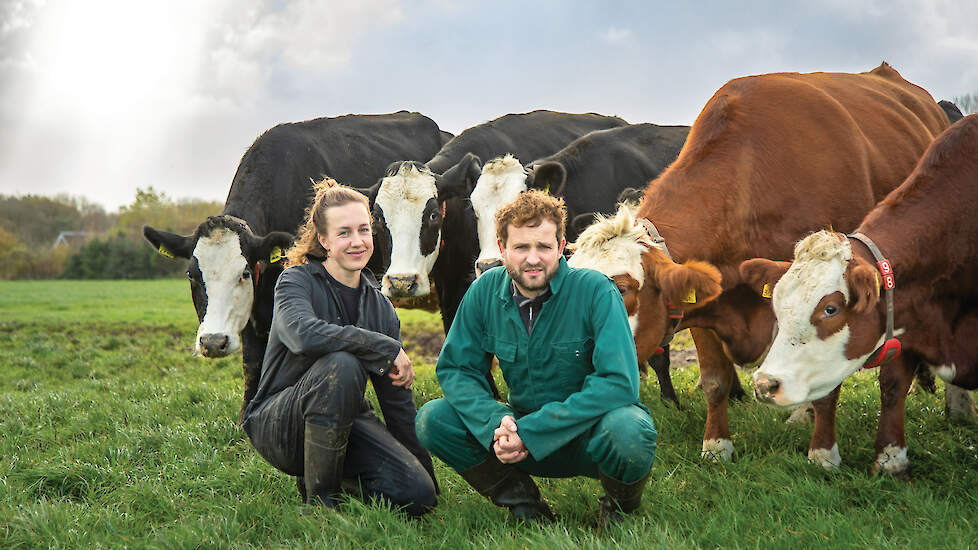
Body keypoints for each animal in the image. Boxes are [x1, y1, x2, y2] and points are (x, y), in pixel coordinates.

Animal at [568, 64, 948, 470]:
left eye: (622, 288)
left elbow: (828, 388)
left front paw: (822, 455)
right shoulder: (705, 302)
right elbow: (715, 380)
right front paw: (716, 447)